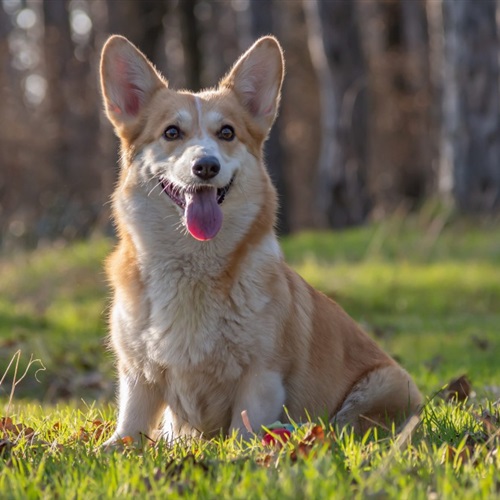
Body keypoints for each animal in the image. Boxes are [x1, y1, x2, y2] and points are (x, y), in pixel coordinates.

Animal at [99, 34, 420, 446]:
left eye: (227, 132)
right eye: (171, 132)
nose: (206, 166)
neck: (192, 266)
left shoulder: (261, 377)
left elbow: (244, 432)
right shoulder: (138, 375)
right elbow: (130, 428)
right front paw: (114, 447)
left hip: (383, 383)